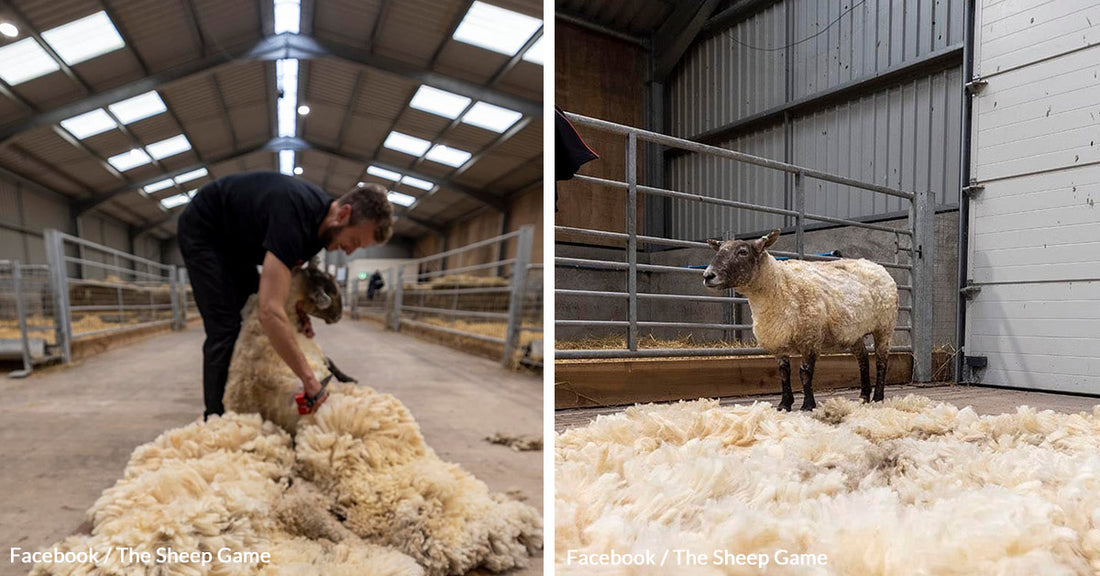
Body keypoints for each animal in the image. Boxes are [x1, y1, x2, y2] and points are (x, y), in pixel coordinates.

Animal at [699, 227, 897, 411]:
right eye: (719, 250)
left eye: (742, 252)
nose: (708, 276)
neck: (780, 286)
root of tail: (876, 265)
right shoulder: (778, 342)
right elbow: (783, 373)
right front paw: (784, 404)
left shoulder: (810, 338)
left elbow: (805, 372)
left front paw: (808, 404)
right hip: (854, 333)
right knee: (863, 359)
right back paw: (863, 396)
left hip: (885, 326)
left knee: (881, 360)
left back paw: (878, 397)